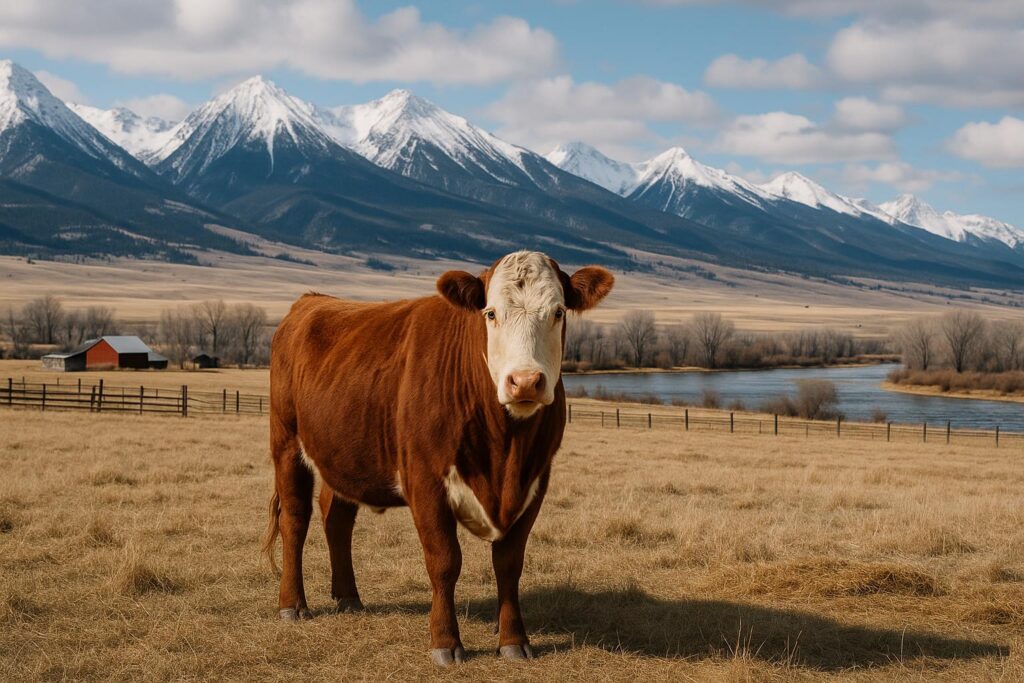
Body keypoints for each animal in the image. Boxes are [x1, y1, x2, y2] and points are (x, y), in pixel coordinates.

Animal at [263, 250, 614, 665]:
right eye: (490, 313)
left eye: (558, 311)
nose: (525, 382)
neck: (505, 451)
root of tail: (311, 301)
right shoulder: (425, 479)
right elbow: (445, 561)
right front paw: (446, 642)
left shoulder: (535, 480)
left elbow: (509, 563)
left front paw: (513, 640)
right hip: (287, 444)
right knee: (295, 520)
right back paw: (293, 605)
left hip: (345, 454)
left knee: (337, 519)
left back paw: (348, 598)